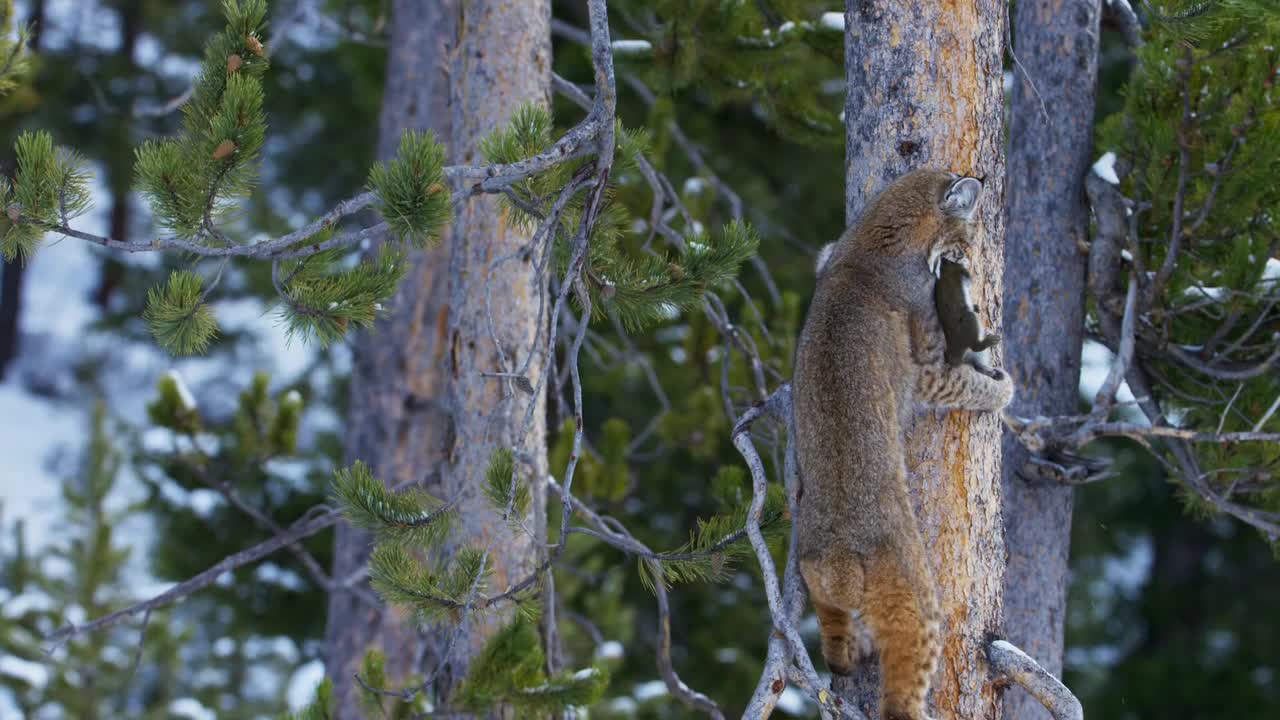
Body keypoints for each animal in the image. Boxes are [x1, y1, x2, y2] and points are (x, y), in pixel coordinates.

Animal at [788, 169, 1008, 717]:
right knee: (900, 700)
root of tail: (838, 556)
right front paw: (1004, 390)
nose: (970, 268)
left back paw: (848, 653)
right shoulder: (928, 366)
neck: (879, 235)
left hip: (816, 579)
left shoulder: (829, 251)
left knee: (836, 643)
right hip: (918, 602)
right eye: (965, 245)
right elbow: (968, 382)